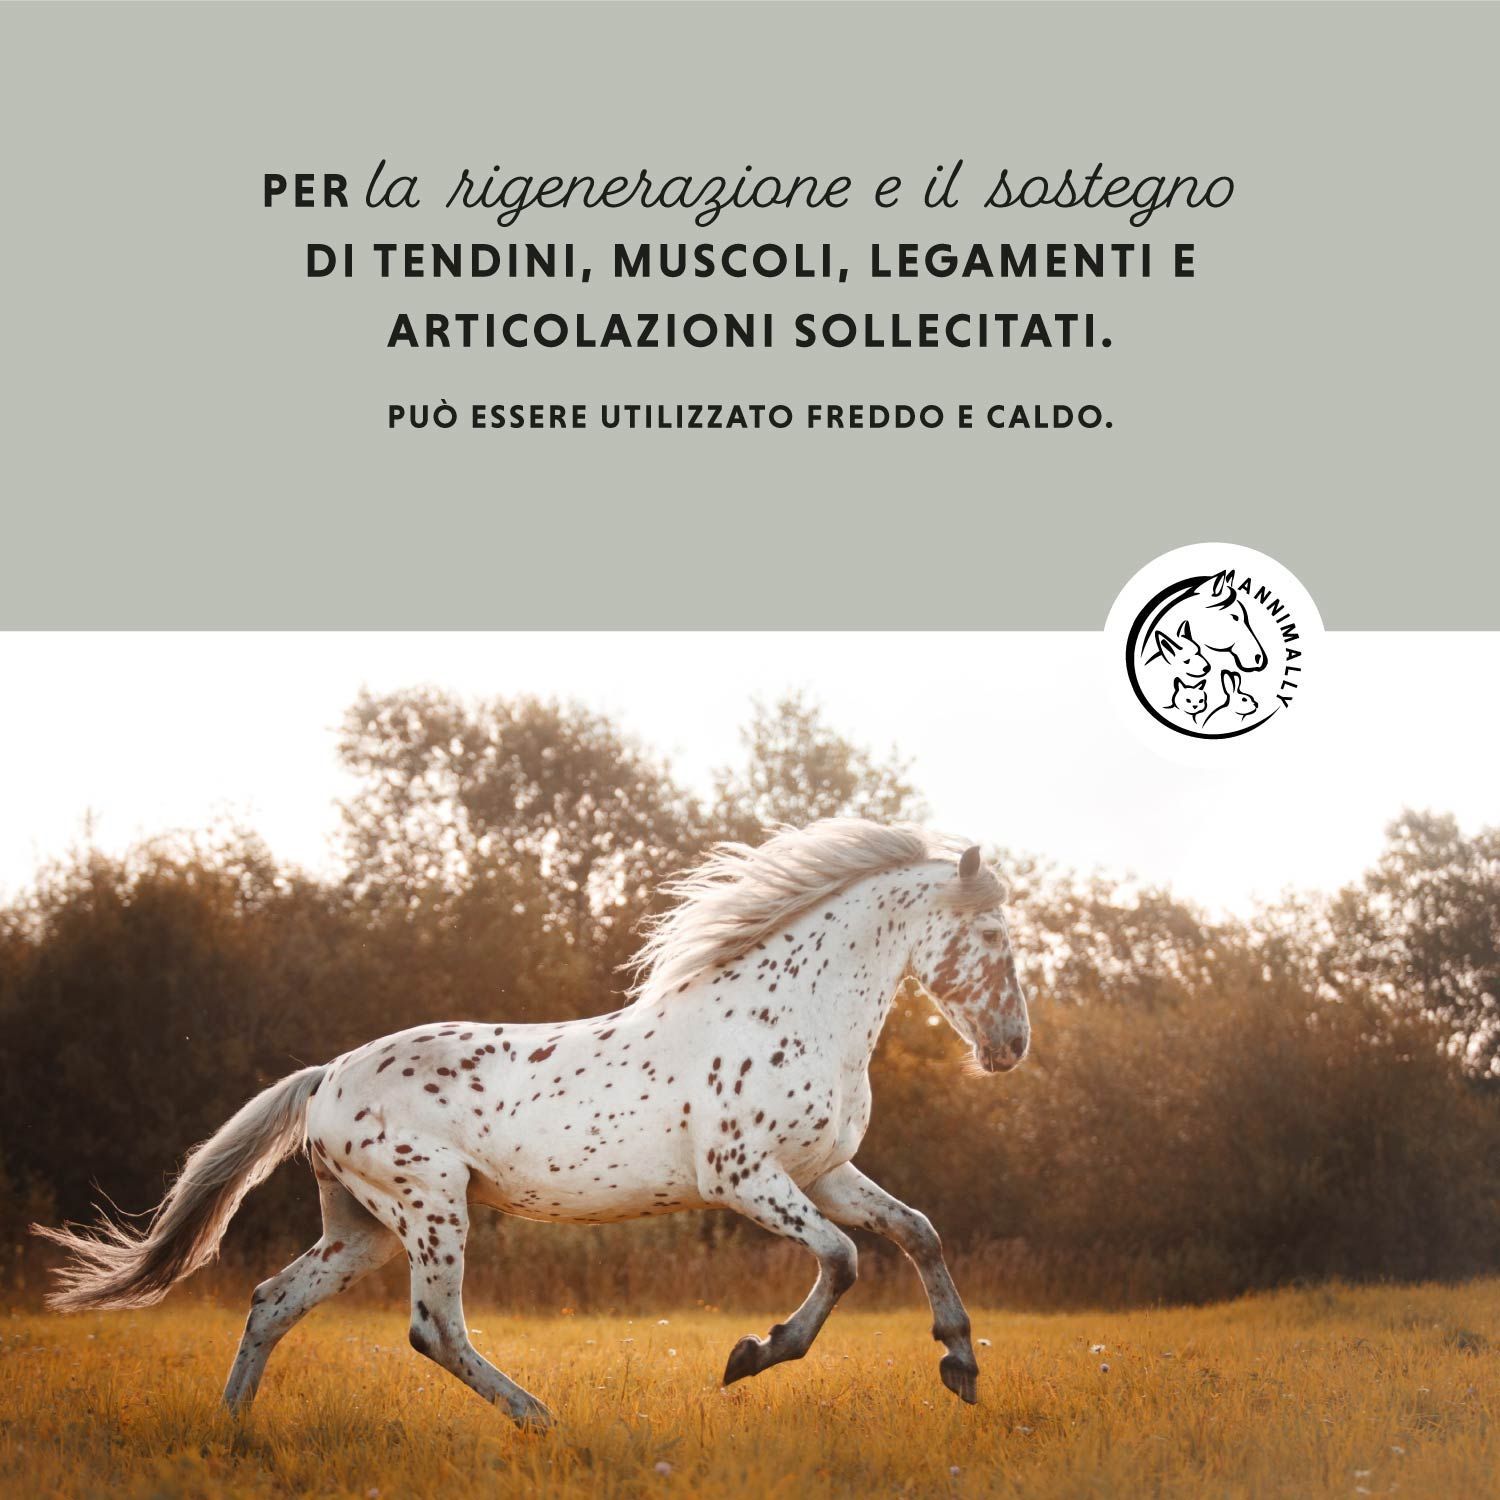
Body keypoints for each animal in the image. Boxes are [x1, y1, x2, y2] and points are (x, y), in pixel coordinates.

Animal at [34, 819, 1030, 1430]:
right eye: (993, 937)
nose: (1011, 1047)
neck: (790, 1011)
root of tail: (325, 1080)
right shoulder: (745, 1177)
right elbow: (845, 1258)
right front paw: (751, 1356)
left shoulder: (822, 1170)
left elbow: (917, 1232)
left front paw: (961, 1367)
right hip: (431, 1208)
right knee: (434, 1330)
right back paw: (543, 1419)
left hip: (361, 1229)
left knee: (272, 1301)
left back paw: (236, 1427)